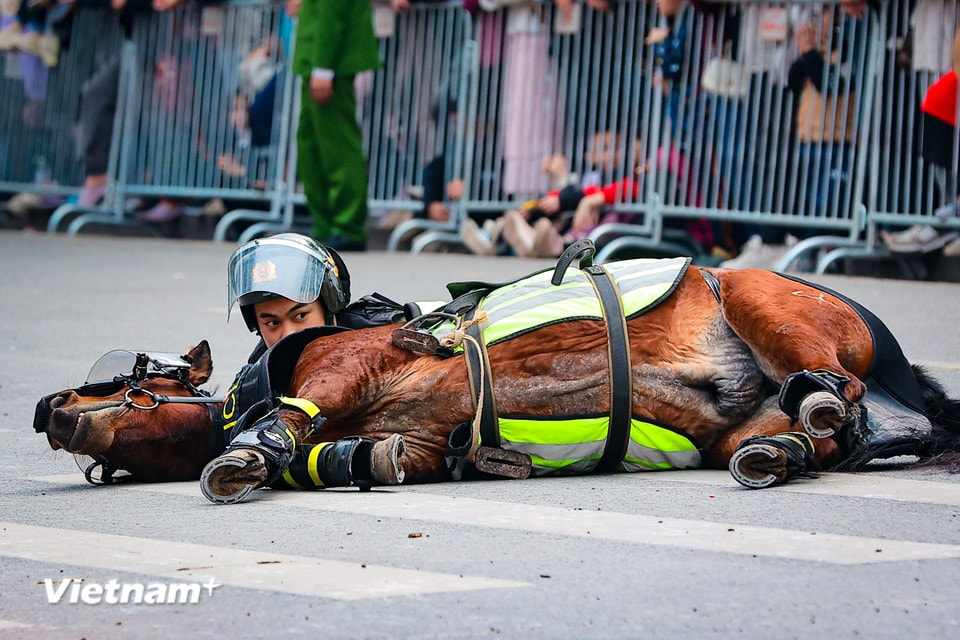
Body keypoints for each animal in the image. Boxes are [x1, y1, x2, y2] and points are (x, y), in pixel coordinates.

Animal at [30, 254, 960, 500]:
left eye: (125, 377)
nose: (47, 405)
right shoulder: (414, 442)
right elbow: (382, 458)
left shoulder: (347, 363)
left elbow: (293, 416)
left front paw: (251, 453)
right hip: (750, 417)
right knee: (805, 435)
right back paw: (786, 450)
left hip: (763, 303)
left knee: (833, 391)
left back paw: (819, 402)